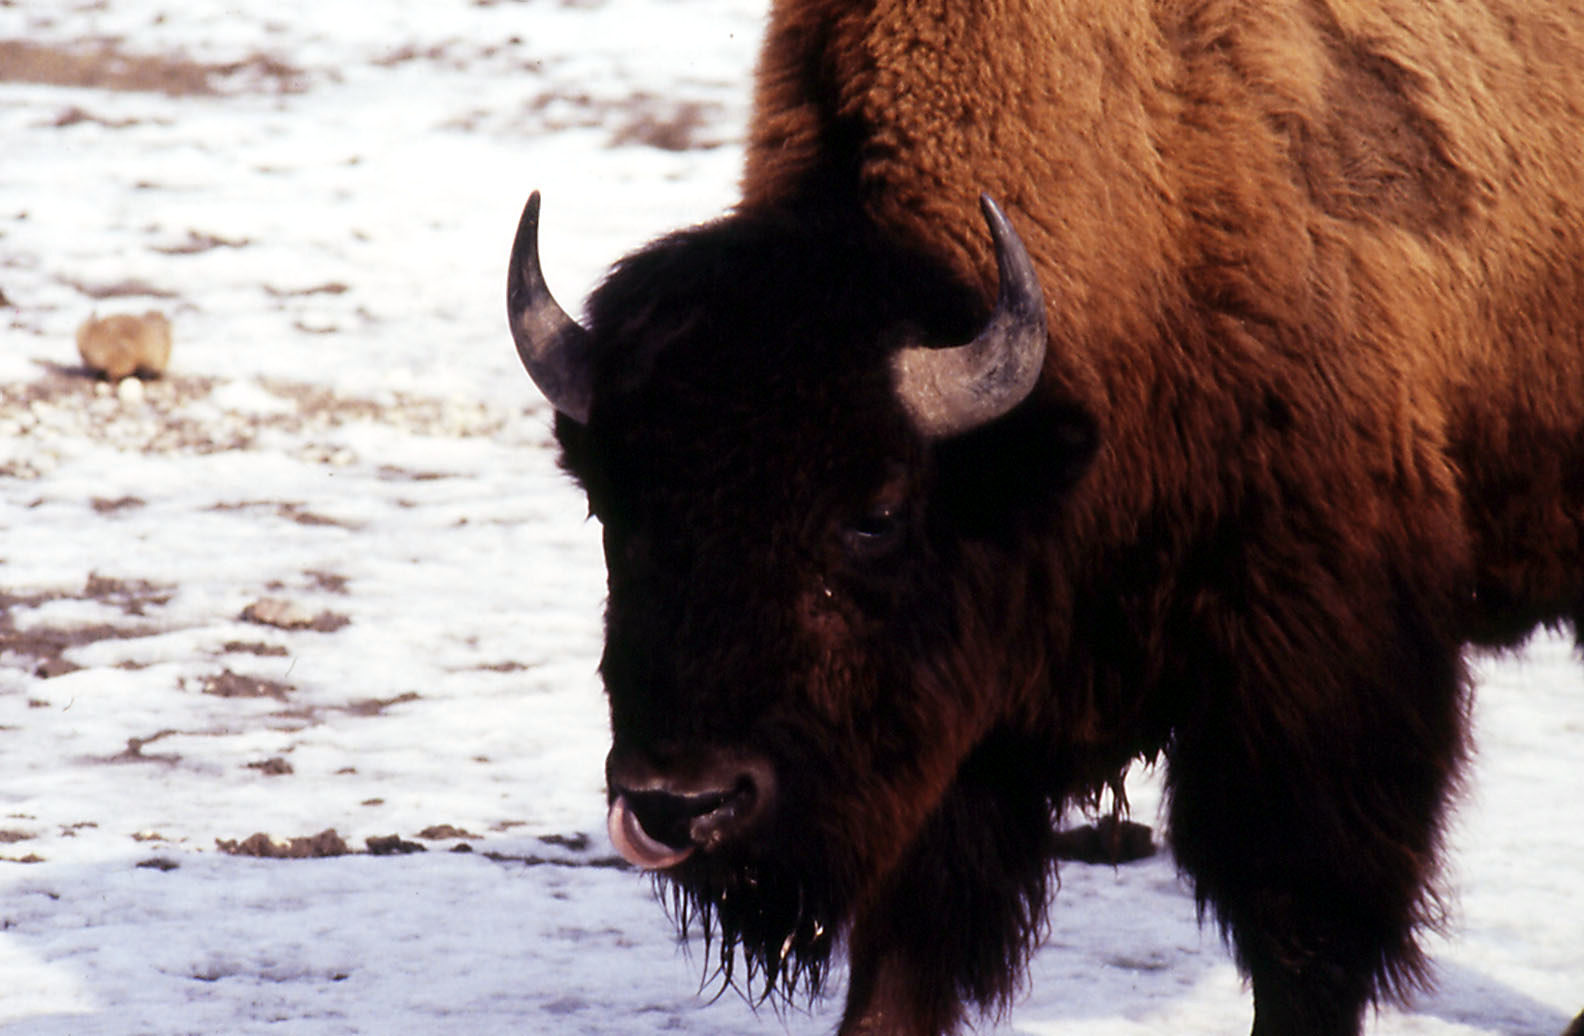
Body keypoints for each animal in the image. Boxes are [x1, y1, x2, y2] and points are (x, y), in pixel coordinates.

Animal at [507, 1, 1584, 1033]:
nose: (681, 803)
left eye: (877, 512)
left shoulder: (1314, 683)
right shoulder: (956, 744)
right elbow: (900, 965)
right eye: (609, 506)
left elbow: (1302, 936)